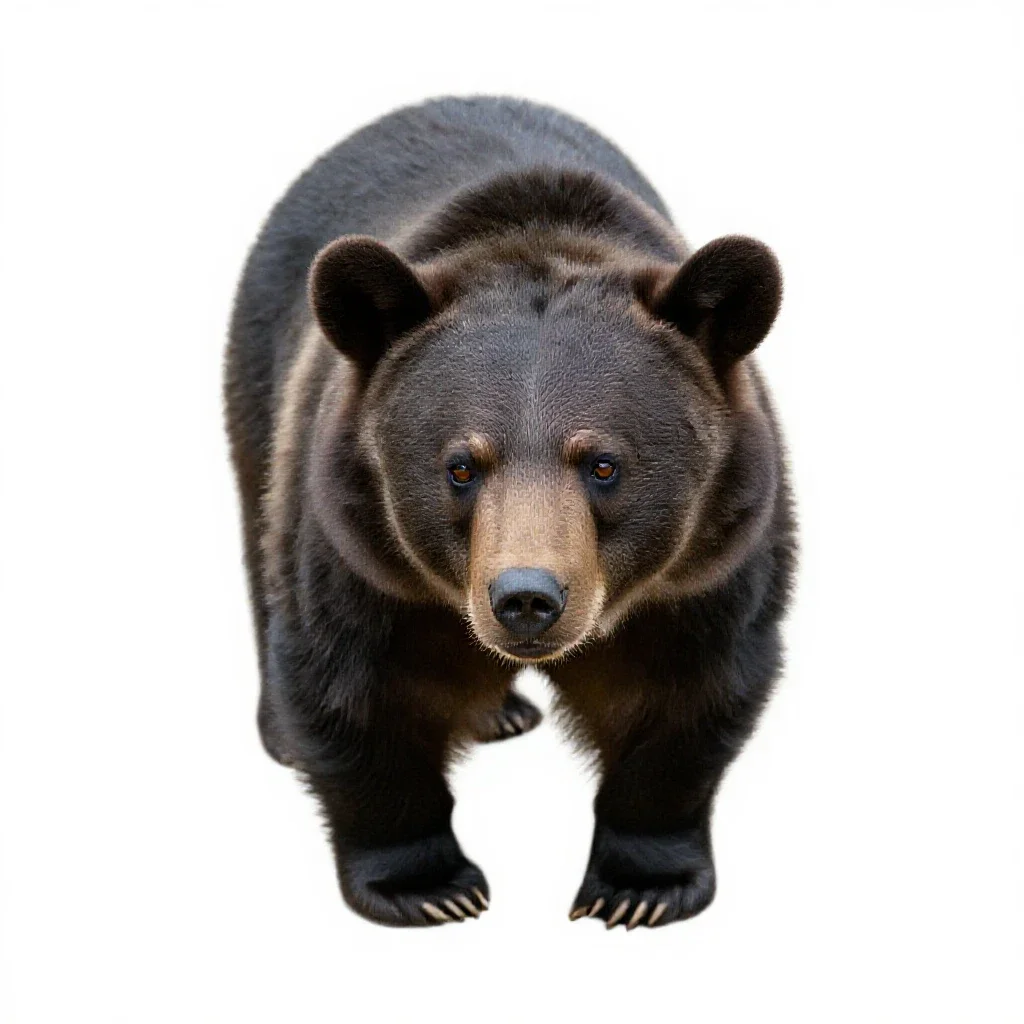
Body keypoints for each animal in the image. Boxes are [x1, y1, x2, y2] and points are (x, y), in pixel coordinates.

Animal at [224, 96, 795, 929]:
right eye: (460, 466)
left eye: (603, 464)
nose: (527, 598)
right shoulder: (357, 544)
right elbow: (354, 687)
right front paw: (429, 885)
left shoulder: (710, 558)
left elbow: (690, 692)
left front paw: (640, 886)